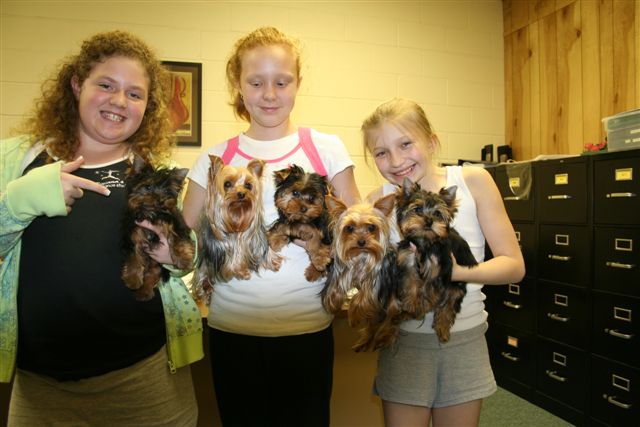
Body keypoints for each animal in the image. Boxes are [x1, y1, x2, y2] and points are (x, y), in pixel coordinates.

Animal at [121, 156, 194, 300]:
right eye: (148, 187)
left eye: (166, 191)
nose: (161, 200)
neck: (152, 214)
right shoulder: (133, 230)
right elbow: (134, 253)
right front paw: (132, 278)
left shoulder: (175, 222)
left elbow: (178, 238)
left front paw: (183, 259)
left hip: (158, 264)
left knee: (154, 273)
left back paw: (145, 292)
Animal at [189, 155, 282, 306]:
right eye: (227, 184)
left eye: (248, 185)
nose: (241, 194)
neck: (237, 216)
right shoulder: (220, 247)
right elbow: (231, 262)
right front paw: (241, 271)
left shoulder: (256, 239)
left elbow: (263, 250)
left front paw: (274, 262)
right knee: (202, 273)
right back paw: (205, 288)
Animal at [320, 196, 404, 352]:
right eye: (349, 228)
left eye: (371, 227)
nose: (361, 242)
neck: (361, 256)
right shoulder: (343, 271)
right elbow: (334, 288)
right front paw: (332, 304)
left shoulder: (377, 283)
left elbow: (361, 296)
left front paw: (353, 318)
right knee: (372, 323)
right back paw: (364, 342)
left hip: (393, 301)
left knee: (391, 321)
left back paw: (384, 338)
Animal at [392, 179, 478, 342]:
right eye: (418, 209)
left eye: (438, 213)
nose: (429, 221)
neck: (425, 242)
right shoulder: (409, 260)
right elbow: (412, 283)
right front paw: (412, 305)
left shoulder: (438, 267)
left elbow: (429, 288)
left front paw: (423, 306)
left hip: (457, 287)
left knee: (449, 304)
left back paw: (442, 328)